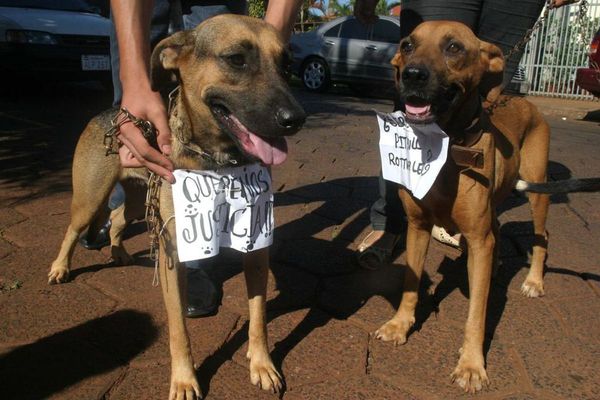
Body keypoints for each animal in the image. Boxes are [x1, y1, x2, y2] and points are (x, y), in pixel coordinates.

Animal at [48, 14, 304, 398]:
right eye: (236, 59)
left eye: (287, 65)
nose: (296, 118)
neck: (218, 162)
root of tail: (110, 113)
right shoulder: (173, 255)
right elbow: (178, 331)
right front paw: (184, 379)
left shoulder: (257, 248)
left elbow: (258, 316)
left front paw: (262, 364)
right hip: (89, 199)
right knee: (72, 230)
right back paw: (60, 268)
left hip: (137, 202)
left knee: (118, 218)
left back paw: (118, 252)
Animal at [376, 20, 552, 392]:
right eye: (407, 44)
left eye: (454, 47)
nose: (412, 75)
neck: (444, 145)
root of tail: (524, 99)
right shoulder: (418, 226)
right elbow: (410, 283)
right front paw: (400, 324)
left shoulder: (477, 237)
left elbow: (476, 314)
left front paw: (472, 364)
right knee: (497, 230)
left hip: (537, 188)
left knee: (541, 236)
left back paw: (534, 281)